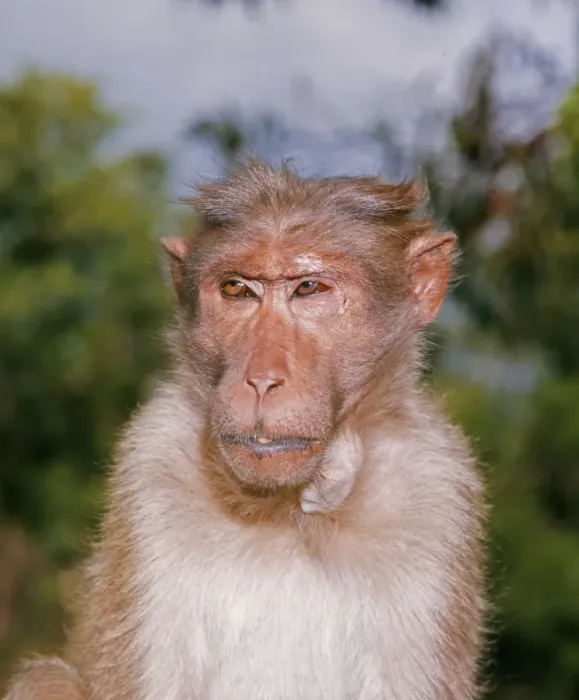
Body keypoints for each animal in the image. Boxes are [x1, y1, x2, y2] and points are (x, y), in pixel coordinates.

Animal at [3, 160, 486, 700]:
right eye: (237, 289)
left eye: (309, 289)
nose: (262, 378)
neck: (290, 514)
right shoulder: (153, 460)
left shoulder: (436, 489)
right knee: (45, 678)